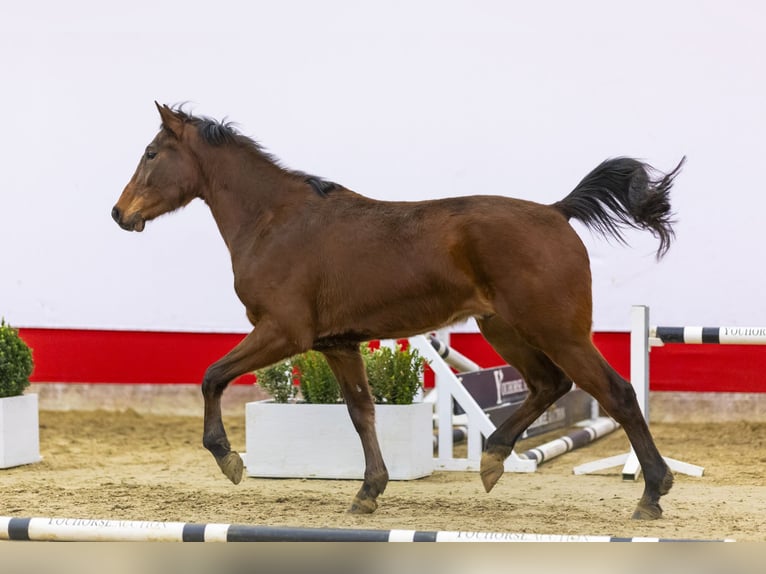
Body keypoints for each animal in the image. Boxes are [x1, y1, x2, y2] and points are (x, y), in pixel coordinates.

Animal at [111, 103, 688, 520]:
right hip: (504, 328)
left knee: (616, 392)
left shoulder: (283, 332)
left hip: (558, 331)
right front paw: (368, 492)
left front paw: (228, 458)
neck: (274, 220)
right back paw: (493, 457)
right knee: (550, 385)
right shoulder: (338, 344)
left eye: (151, 153)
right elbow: (361, 413)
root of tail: (556, 212)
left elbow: (211, 376)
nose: (119, 214)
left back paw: (651, 493)